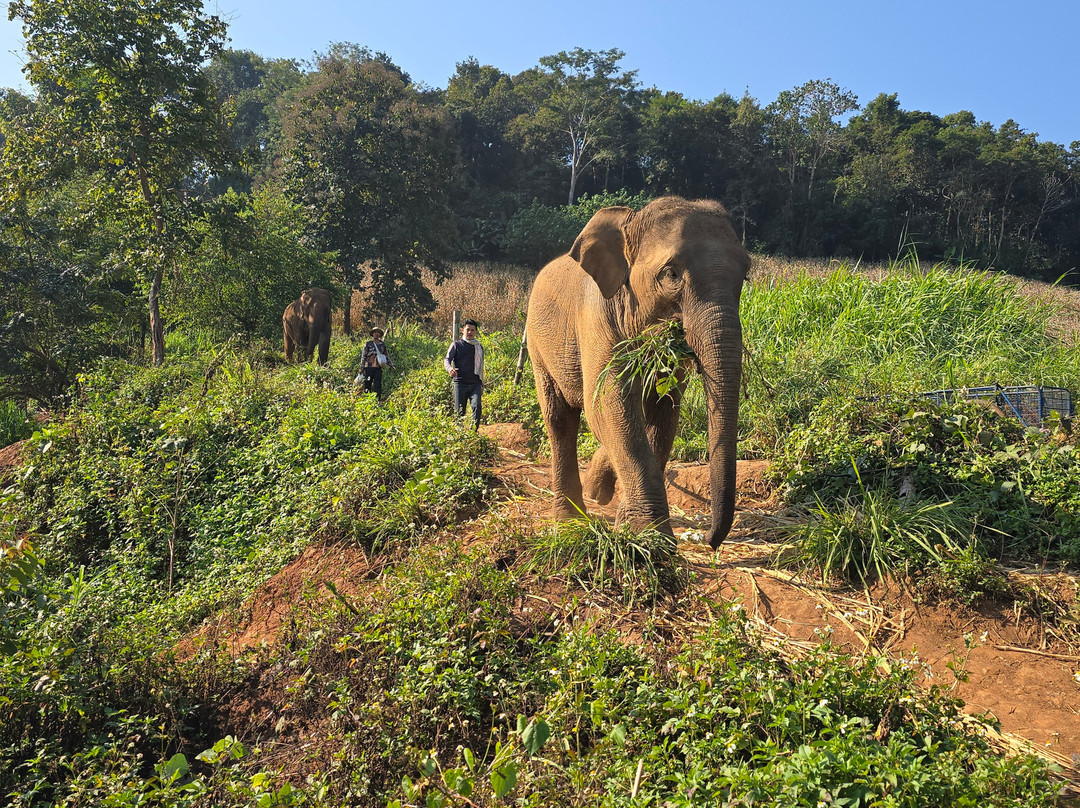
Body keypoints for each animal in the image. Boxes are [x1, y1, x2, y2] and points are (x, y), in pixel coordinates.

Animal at [525, 196, 750, 549]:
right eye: (671, 273)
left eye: (745, 275)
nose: (708, 540)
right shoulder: (595, 318)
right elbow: (607, 404)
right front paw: (652, 538)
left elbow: (663, 412)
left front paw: (631, 526)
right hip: (536, 345)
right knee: (560, 418)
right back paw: (569, 519)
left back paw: (596, 493)